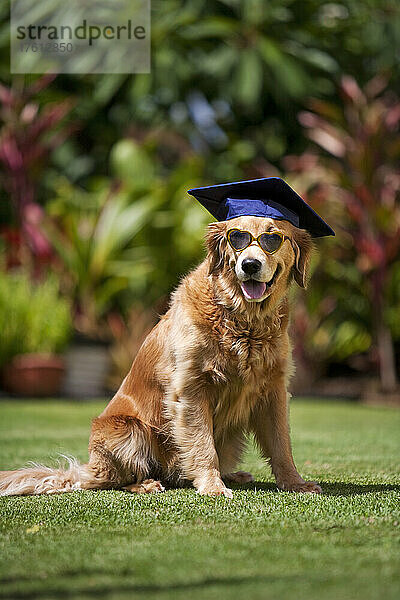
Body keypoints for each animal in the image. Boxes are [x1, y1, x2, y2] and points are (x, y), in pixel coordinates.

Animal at [0, 216, 320, 496]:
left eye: (272, 238)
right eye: (236, 238)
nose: (250, 265)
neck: (243, 320)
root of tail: (89, 467)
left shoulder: (274, 389)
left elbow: (281, 446)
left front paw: (295, 483)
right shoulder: (191, 389)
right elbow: (203, 445)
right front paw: (212, 486)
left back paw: (233, 475)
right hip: (128, 430)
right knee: (109, 481)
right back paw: (146, 484)